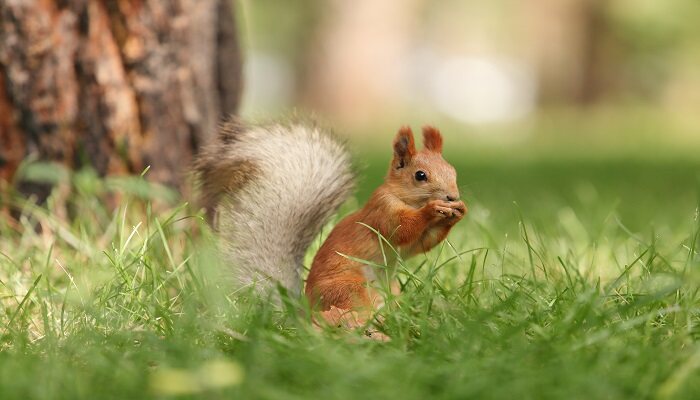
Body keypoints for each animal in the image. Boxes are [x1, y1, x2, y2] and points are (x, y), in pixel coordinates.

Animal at [196, 119, 464, 338]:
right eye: (420, 175)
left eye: (453, 171)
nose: (452, 196)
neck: (405, 198)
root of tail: (305, 308)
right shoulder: (381, 211)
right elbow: (403, 229)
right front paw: (432, 209)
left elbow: (420, 244)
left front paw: (457, 214)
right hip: (349, 289)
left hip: (390, 289)